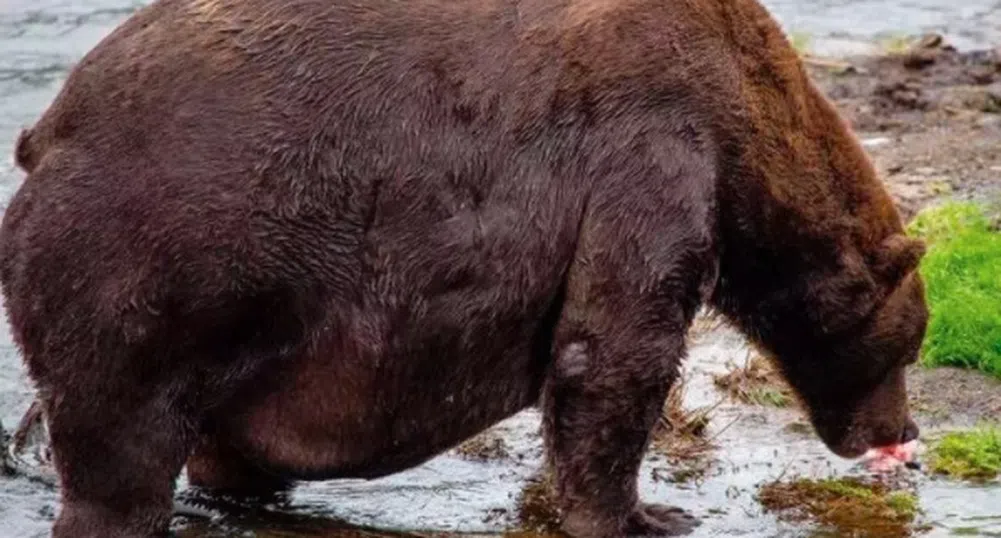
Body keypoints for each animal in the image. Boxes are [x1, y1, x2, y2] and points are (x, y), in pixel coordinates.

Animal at [0, 0, 924, 532]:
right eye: (909, 346)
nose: (904, 435)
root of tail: (46, 131)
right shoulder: (650, 149)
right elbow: (614, 353)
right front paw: (647, 513)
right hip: (148, 263)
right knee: (120, 449)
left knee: (220, 445)